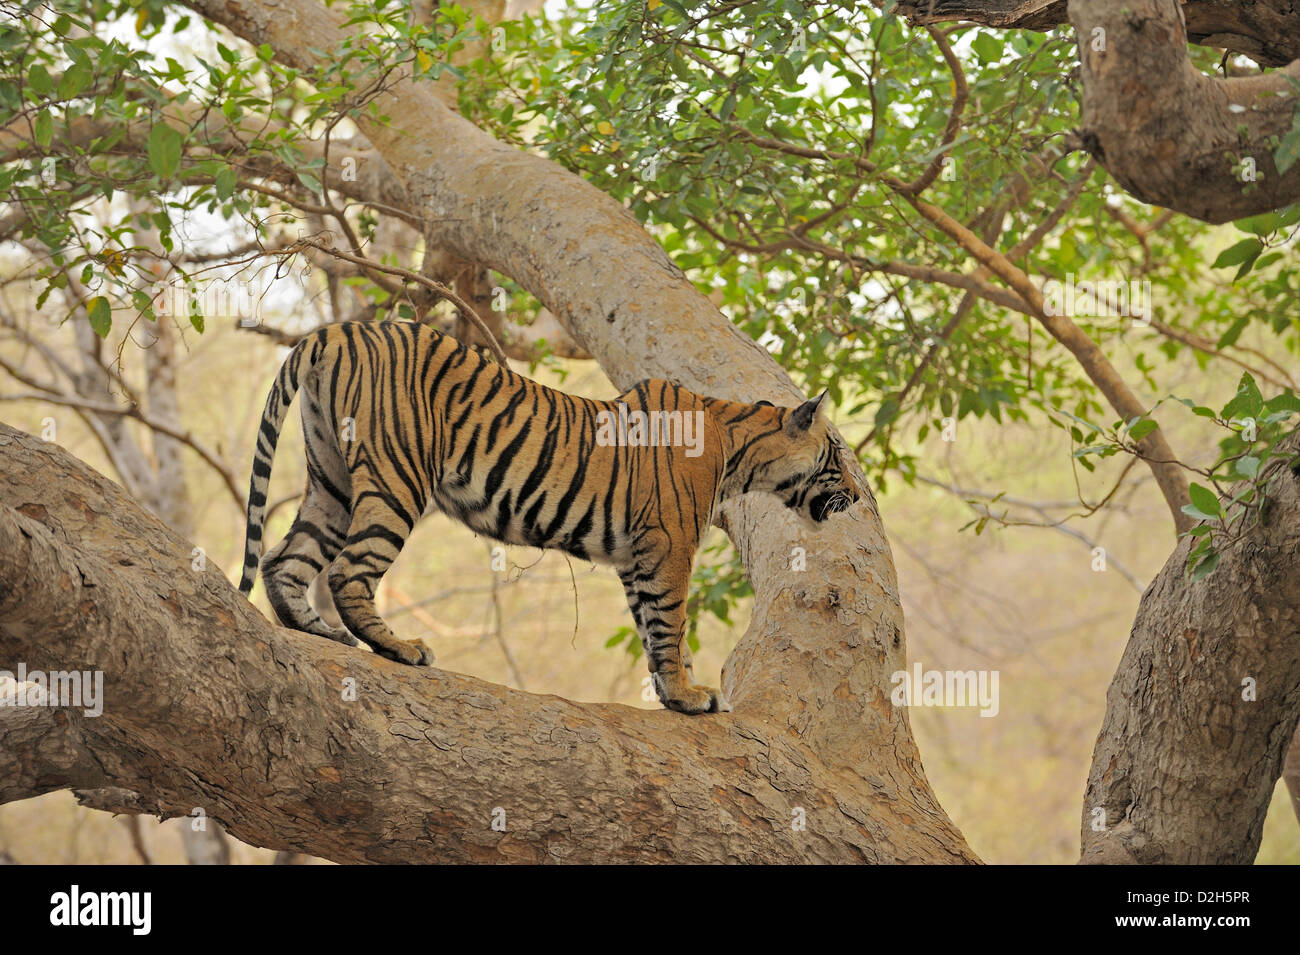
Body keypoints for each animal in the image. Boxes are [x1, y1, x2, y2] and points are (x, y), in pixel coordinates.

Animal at [239, 324, 863, 712]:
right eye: (837, 453)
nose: (858, 497)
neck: (738, 452)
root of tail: (339, 330)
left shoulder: (637, 557)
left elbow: (653, 626)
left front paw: (673, 693)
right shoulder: (669, 544)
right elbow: (671, 623)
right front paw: (688, 695)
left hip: (332, 483)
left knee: (283, 561)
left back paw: (319, 632)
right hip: (397, 479)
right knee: (348, 570)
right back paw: (399, 648)